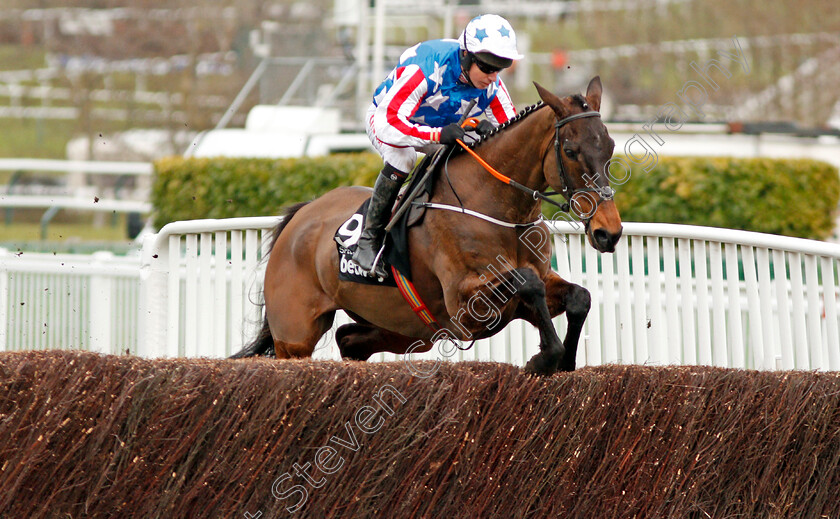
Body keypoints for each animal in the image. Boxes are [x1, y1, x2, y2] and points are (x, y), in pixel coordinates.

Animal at [233, 76, 620, 378]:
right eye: (570, 150)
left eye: (611, 146)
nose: (609, 232)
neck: (498, 207)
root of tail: (302, 216)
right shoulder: (466, 304)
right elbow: (528, 283)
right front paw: (544, 358)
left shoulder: (528, 288)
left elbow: (579, 297)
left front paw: (564, 358)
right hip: (294, 336)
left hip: (403, 329)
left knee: (348, 339)